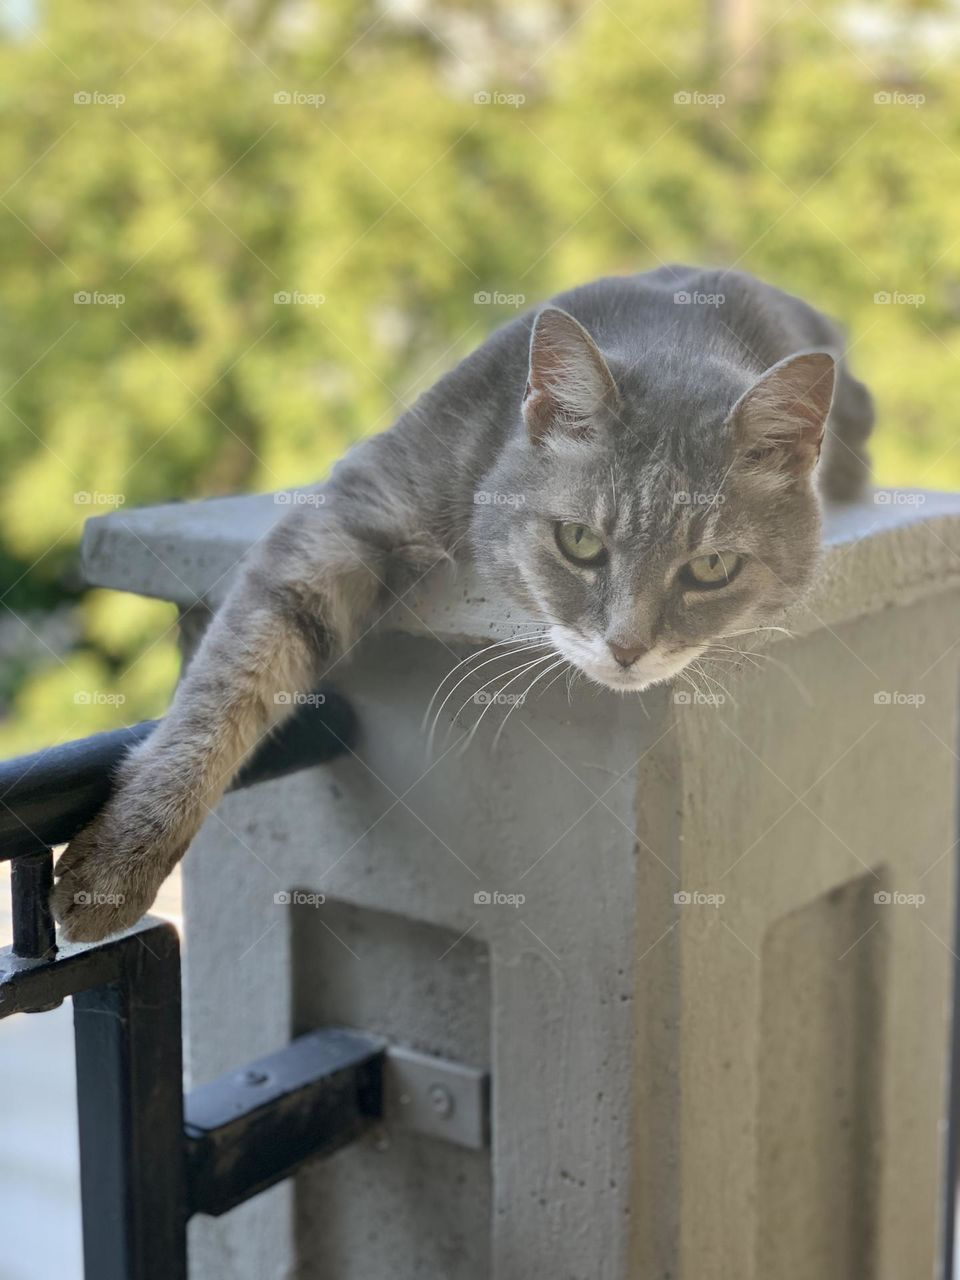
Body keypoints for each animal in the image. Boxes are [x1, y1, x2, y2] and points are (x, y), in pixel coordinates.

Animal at [54, 262, 880, 942]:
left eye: (710, 566)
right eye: (579, 541)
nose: (626, 647)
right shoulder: (349, 513)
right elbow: (232, 679)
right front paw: (125, 854)